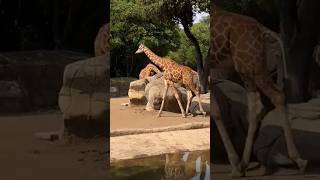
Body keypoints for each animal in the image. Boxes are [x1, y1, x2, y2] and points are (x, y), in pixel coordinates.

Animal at [208, 4, 308, 176]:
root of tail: (263, 29)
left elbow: (215, 111)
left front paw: (233, 164)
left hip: (248, 66)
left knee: (276, 97)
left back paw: (298, 160)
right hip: (250, 68)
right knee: (259, 106)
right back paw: (244, 164)